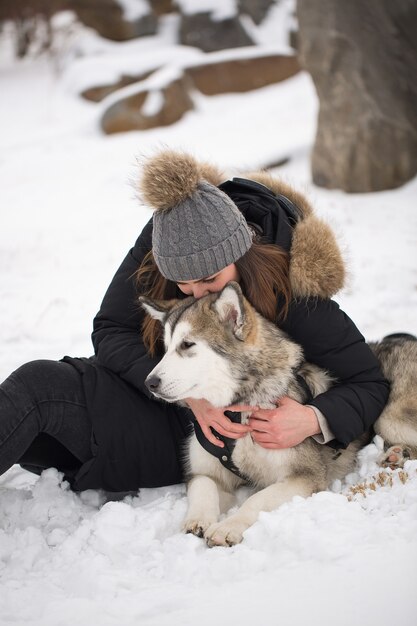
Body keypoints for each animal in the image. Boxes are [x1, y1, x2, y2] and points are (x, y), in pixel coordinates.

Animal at [141, 282, 416, 544]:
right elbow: (203, 486)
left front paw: (228, 527)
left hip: (389, 418)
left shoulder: (305, 476)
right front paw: (198, 519)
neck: (239, 409)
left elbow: (257, 499)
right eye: (166, 348)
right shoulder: (204, 469)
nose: (150, 382)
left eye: (187, 344)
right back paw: (397, 454)